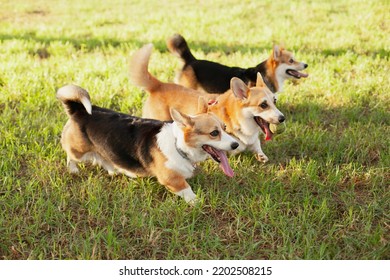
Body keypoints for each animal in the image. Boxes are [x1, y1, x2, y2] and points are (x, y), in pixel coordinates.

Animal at [56, 84, 239, 202]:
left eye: (224, 128)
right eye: (214, 133)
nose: (236, 145)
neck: (178, 145)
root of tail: (79, 110)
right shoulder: (171, 179)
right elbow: (186, 189)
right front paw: (196, 201)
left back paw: (113, 170)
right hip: (78, 151)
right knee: (70, 156)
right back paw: (74, 170)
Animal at [129, 43, 284, 162]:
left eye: (275, 101)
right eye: (263, 105)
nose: (282, 118)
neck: (236, 118)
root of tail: (158, 85)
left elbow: (257, 146)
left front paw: (261, 155)